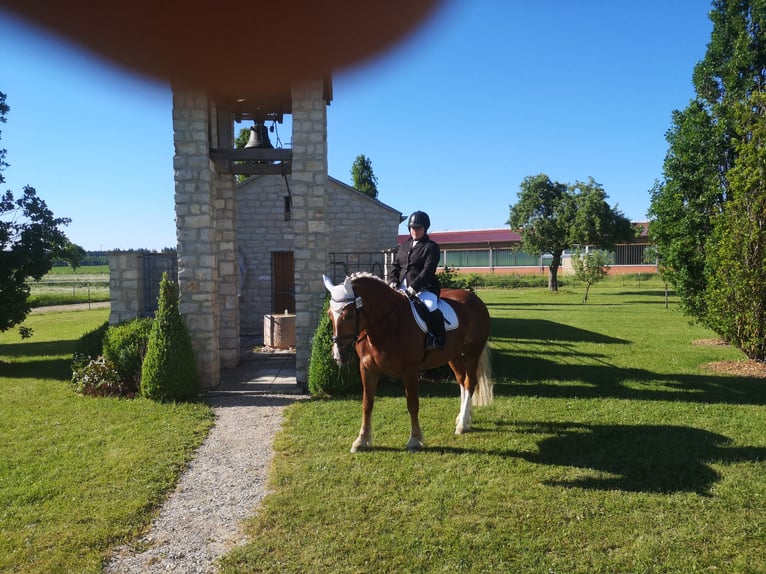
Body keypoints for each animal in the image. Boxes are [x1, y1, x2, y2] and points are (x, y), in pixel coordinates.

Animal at [322, 274, 492, 454]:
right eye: (329, 315)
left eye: (348, 315)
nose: (338, 356)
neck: (388, 323)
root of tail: (474, 298)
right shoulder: (367, 369)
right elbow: (367, 404)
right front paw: (361, 441)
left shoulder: (410, 371)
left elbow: (412, 404)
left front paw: (414, 440)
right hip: (453, 354)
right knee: (462, 380)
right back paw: (464, 418)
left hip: (472, 352)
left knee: (470, 382)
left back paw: (463, 424)